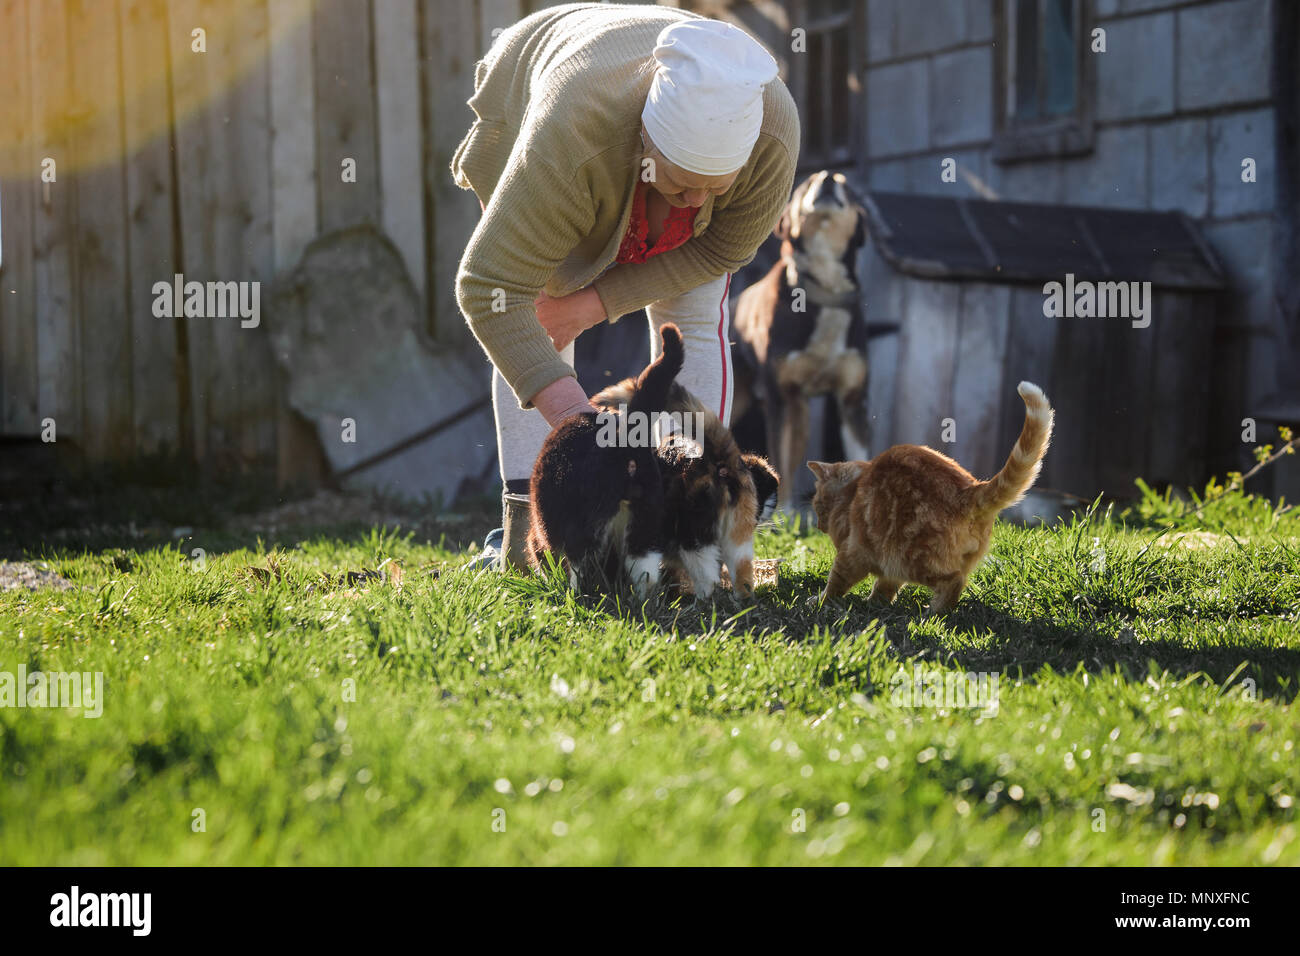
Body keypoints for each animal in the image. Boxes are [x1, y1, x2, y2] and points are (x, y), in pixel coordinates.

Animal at [733, 171, 873, 515]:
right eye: (807, 183)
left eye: (845, 185)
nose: (828, 177)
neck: (824, 288)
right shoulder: (781, 397)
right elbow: (779, 463)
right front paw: (784, 515)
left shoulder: (854, 401)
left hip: (801, 414)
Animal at [811, 382, 1055, 613]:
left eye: (817, 506)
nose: (819, 526)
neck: (852, 492)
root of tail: (969, 489)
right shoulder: (888, 570)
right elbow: (884, 588)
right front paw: (874, 604)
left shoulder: (853, 554)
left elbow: (834, 583)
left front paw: (818, 602)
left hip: (913, 559)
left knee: (954, 581)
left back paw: (933, 614)